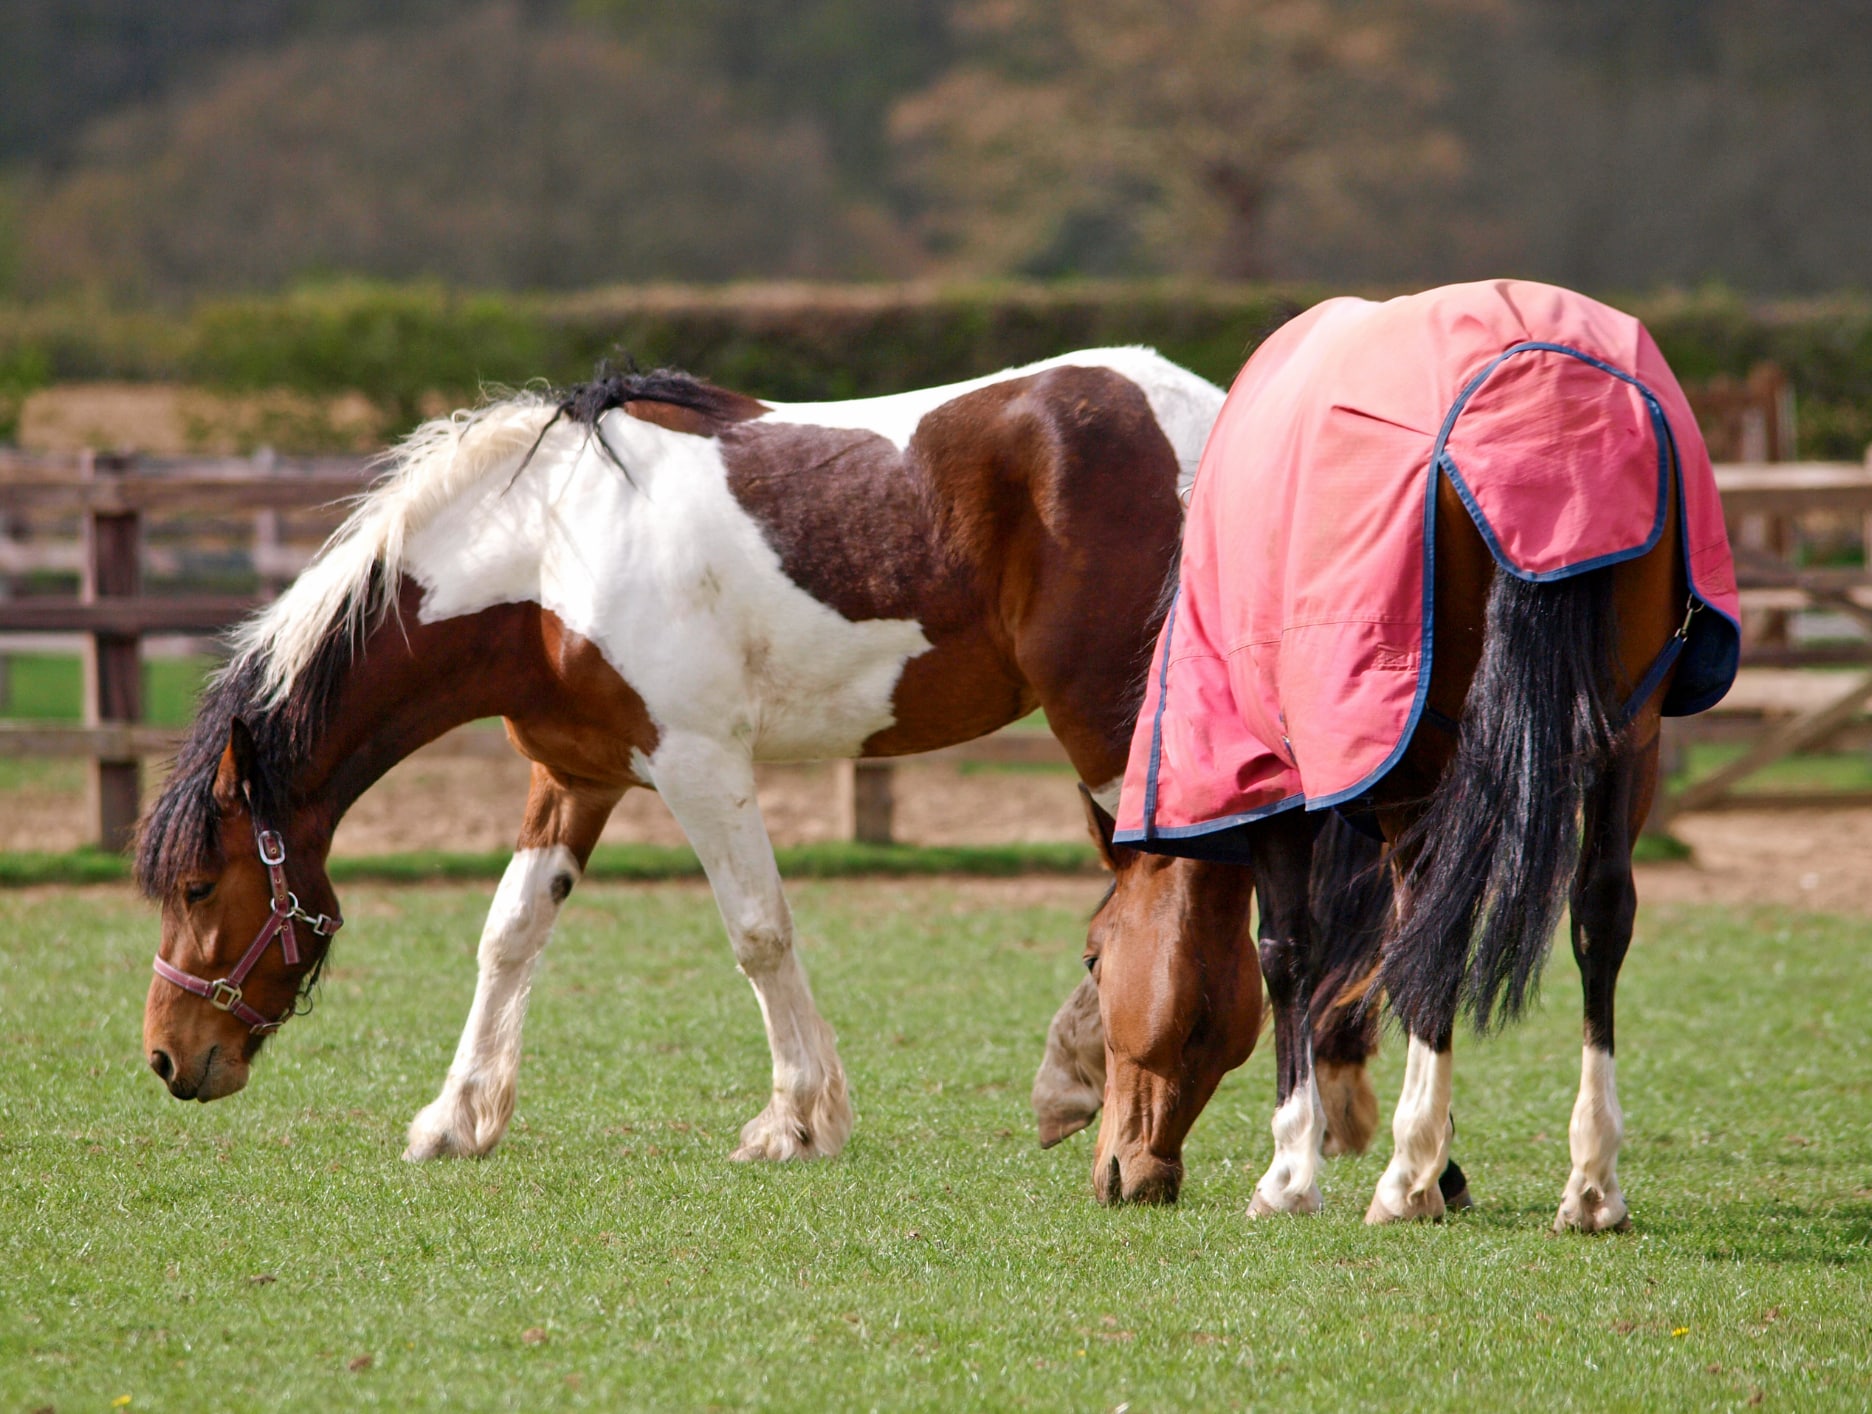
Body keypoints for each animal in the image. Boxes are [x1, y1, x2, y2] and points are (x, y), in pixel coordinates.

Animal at [135, 352, 1228, 1161]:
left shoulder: (700, 767)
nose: (165, 1058)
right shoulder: (575, 775)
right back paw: (1082, 1077)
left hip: (1110, 722)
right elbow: (510, 932)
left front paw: (796, 1122)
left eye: (197, 886)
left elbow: (758, 932)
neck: (549, 553)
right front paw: (456, 1119)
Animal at [1085, 279, 1737, 1228]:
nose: (1115, 1171)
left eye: (1094, 958)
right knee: (1598, 913)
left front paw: (1295, 1171)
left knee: (1439, 924)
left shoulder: (1273, 779)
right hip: (1632, 735)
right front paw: (1441, 1163)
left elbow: (1289, 950)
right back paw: (1590, 1183)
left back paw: (1405, 1177)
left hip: (1428, 753)